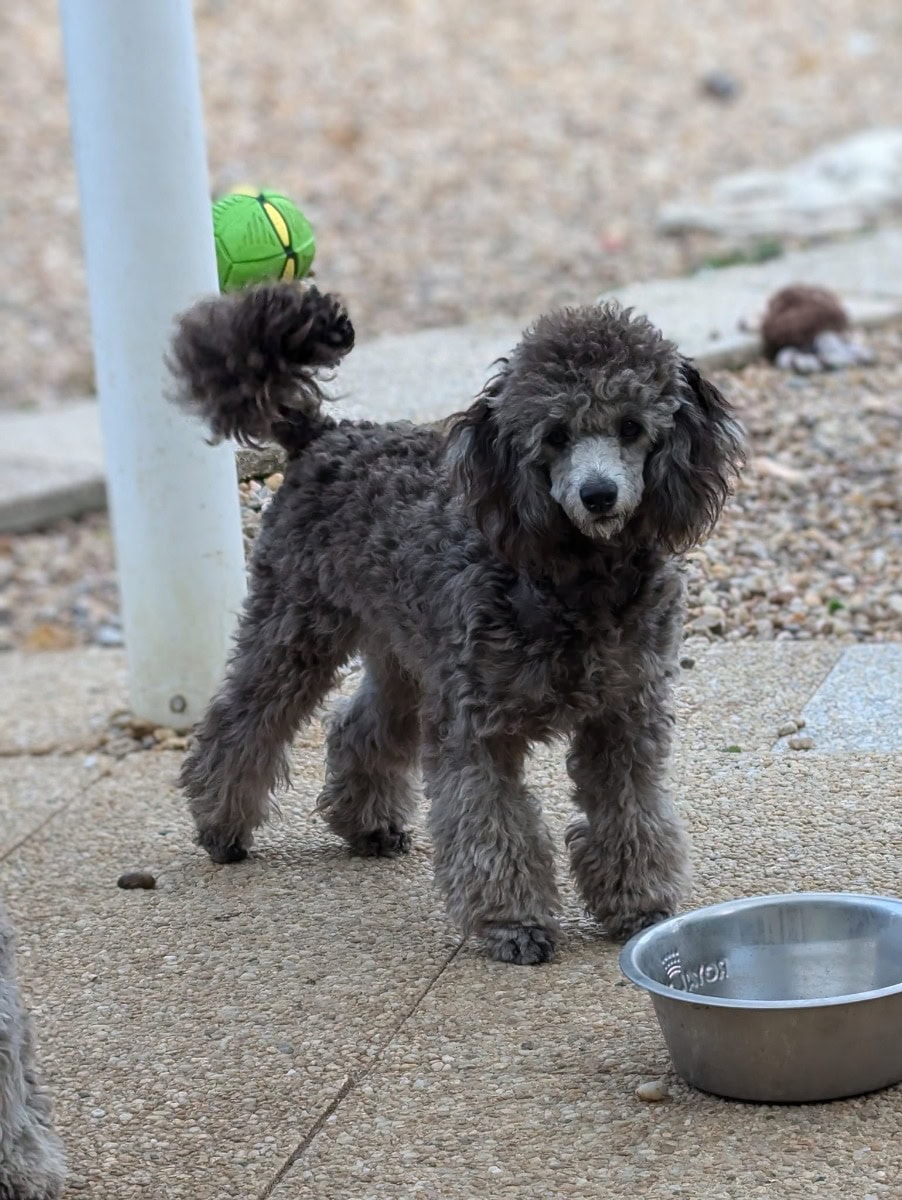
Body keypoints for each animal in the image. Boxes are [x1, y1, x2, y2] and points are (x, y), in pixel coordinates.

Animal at [169, 280, 738, 964]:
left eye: (632, 426)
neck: (575, 576)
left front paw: (637, 903)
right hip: (296, 629)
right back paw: (220, 824)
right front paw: (510, 922)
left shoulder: (623, 716)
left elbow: (629, 813)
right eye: (554, 434)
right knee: (242, 721)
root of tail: (322, 435)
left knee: (359, 727)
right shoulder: (477, 725)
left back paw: (366, 824)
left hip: (404, 658)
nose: (598, 495)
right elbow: (491, 824)